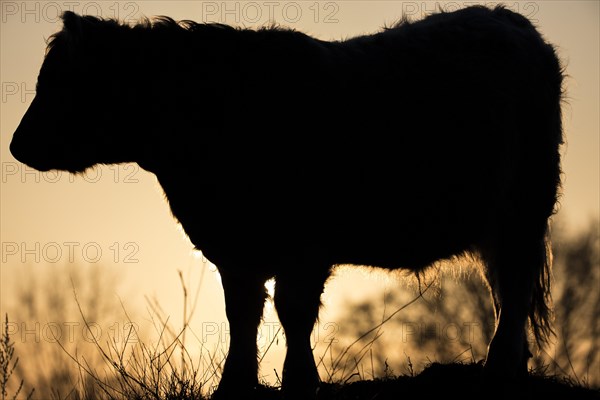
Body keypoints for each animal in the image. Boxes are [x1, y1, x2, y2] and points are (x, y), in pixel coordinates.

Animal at [9, 6, 564, 400]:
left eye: (62, 83)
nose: (16, 145)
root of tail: (505, 18)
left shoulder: (303, 247)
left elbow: (293, 313)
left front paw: (299, 380)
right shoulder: (234, 250)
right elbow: (242, 315)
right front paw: (234, 386)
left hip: (523, 210)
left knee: (514, 288)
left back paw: (498, 369)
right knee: (502, 287)